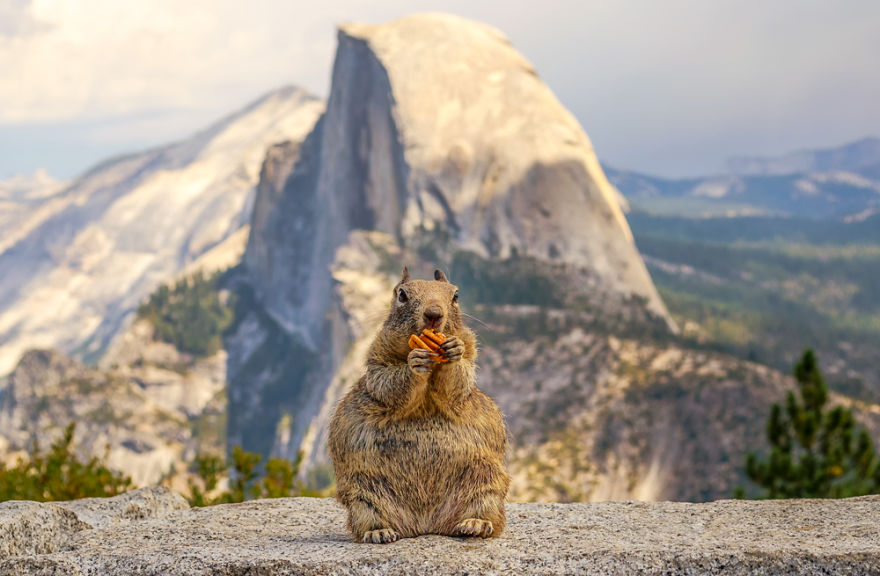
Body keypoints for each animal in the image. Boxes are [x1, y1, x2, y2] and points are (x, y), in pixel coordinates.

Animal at [329, 267, 510, 543]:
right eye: (402, 294)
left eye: (456, 295)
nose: (434, 313)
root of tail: (425, 524)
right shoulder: (377, 360)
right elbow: (387, 383)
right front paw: (415, 362)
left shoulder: (470, 357)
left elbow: (460, 380)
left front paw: (453, 351)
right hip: (362, 492)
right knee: (367, 517)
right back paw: (379, 531)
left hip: (486, 482)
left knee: (487, 510)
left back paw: (475, 524)